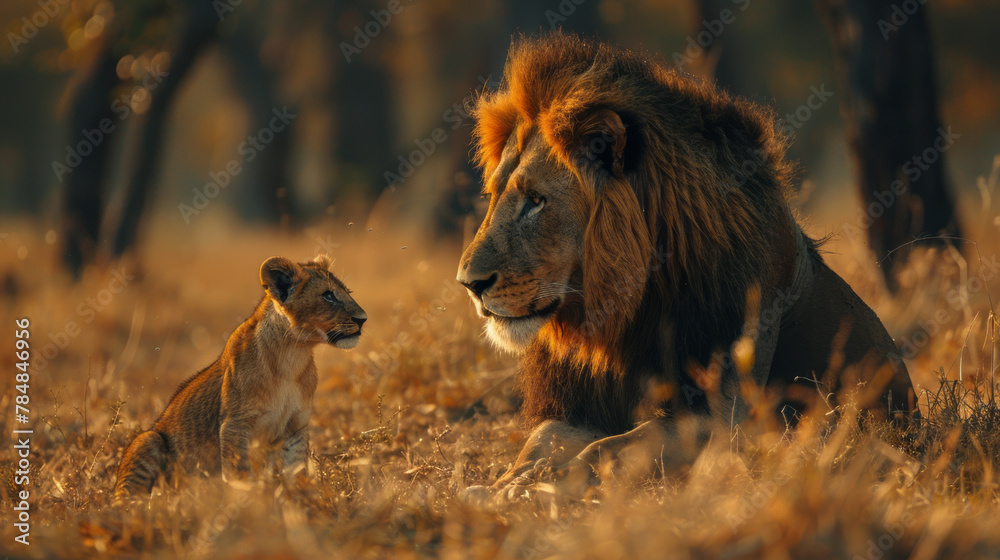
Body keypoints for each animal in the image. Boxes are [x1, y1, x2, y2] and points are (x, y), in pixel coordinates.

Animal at [456, 33, 917, 492]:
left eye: (536, 201)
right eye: (493, 195)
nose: (468, 284)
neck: (625, 313)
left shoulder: (723, 415)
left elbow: (613, 447)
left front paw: (543, 486)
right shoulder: (575, 408)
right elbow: (539, 442)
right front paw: (501, 485)